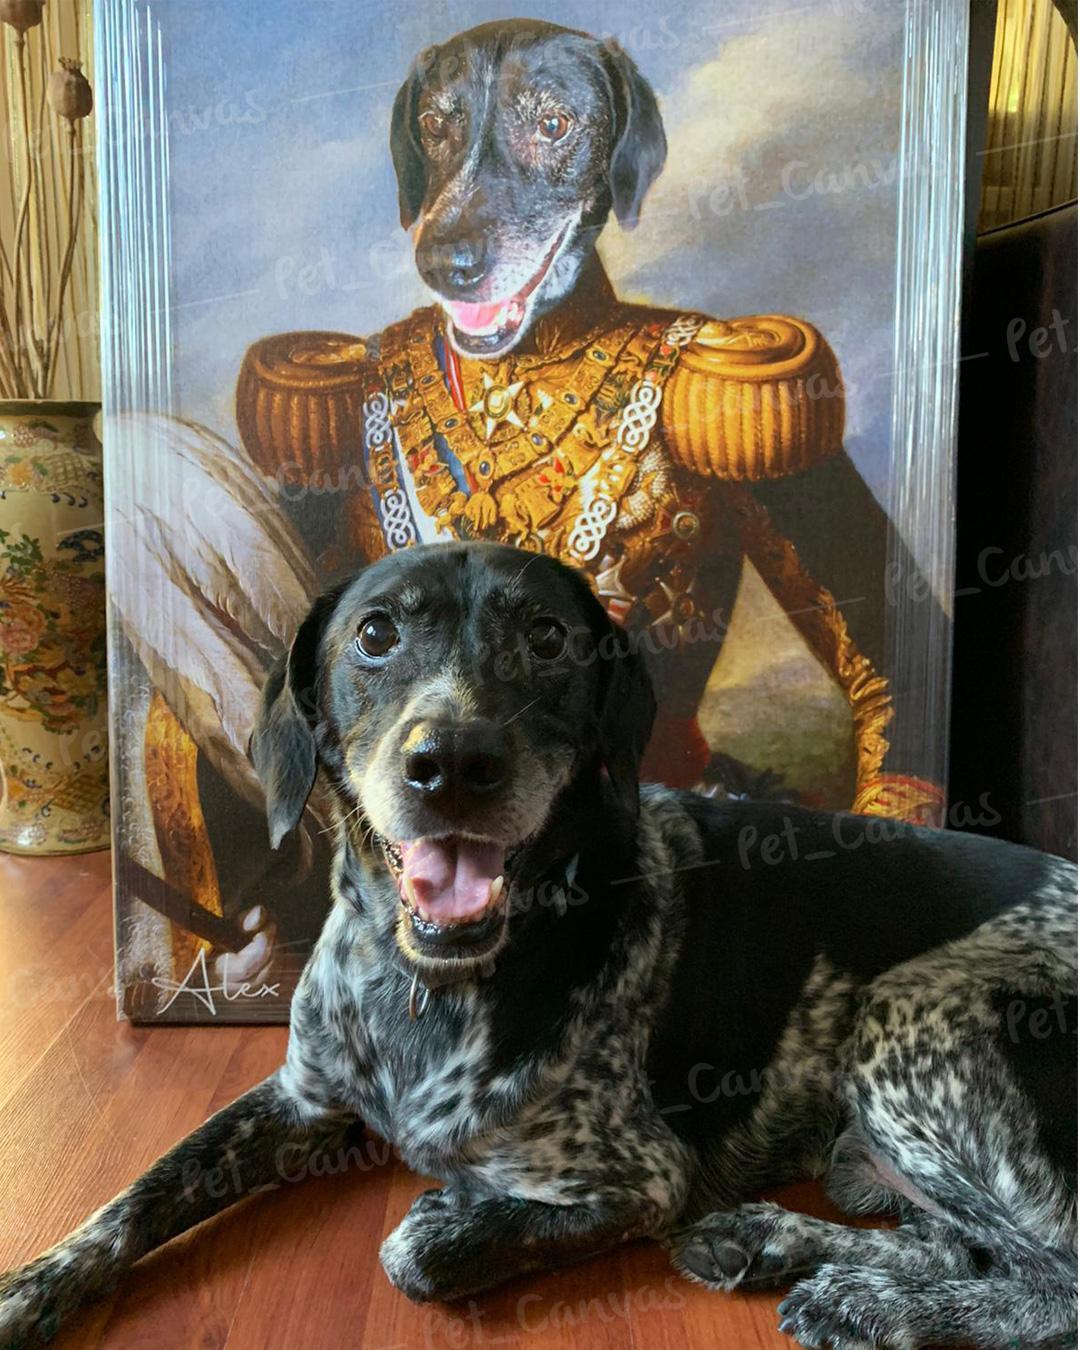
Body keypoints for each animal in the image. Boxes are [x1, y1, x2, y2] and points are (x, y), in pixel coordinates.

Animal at [2, 542, 1076, 1348]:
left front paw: (450, 1214)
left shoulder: (641, 1176)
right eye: (375, 634)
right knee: (960, 1245)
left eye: (548, 636)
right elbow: (141, 1192)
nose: (453, 764)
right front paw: (34, 1283)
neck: (426, 986)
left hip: (909, 1012)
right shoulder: (300, 1099)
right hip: (871, 1142)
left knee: (1047, 1282)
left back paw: (867, 1303)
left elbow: (413, 1252)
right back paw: (770, 1243)